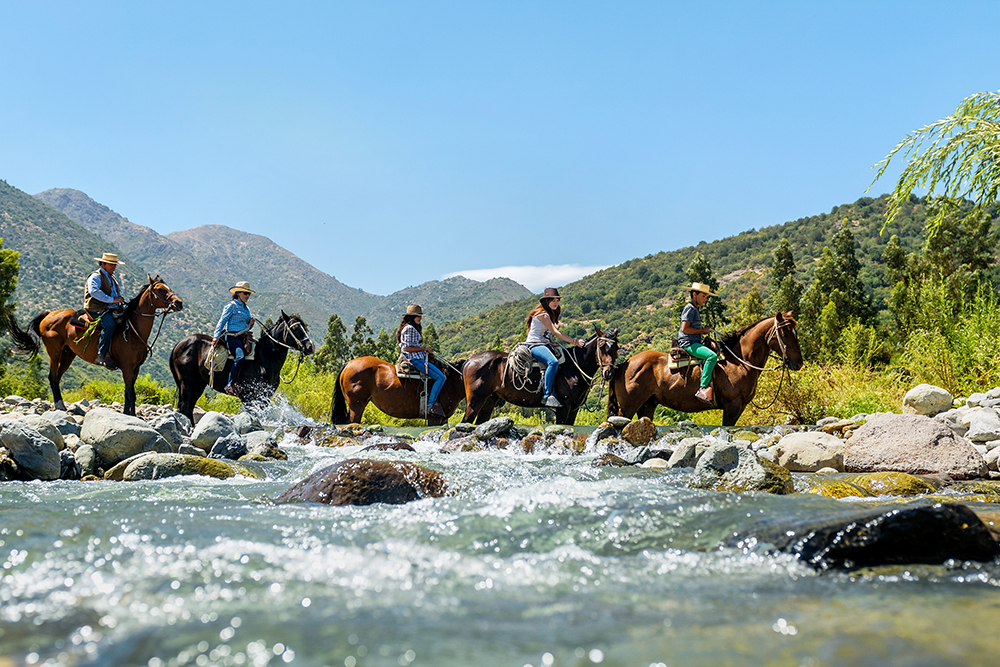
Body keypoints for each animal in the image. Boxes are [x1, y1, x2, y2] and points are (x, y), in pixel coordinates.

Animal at [4, 274, 184, 414]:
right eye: (160, 289)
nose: (179, 303)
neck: (132, 330)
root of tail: (49, 314)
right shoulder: (126, 366)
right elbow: (130, 392)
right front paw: (131, 415)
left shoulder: (135, 368)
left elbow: (129, 391)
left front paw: (128, 413)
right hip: (54, 352)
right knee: (52, 376)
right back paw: (60, 405)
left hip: (68, 354)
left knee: (57, 376)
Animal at [170, 314, 314, 422]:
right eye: (295, 328)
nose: (310, 347)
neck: (263, 360)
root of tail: (180, 343)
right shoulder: (246, 395)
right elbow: (252, 415)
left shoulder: (265, 396)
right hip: (187, 381)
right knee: (184, 405)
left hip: (199, 384)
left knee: (189, 406)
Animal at [460, 326, 616, 426]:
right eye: (601, 345)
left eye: (616, 347)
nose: (608, 372)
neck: (574, 367)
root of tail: (469, 360)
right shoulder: (564, 407)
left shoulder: (574, 409)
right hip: (475, 401)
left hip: (489, 400)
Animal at [600, 314, 804, 428]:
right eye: (785, 333)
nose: (798, 363)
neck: (740, 361)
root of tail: (623, 364)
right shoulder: (732, 405)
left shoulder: (739, 407)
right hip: (628, 407)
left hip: (647, 405)